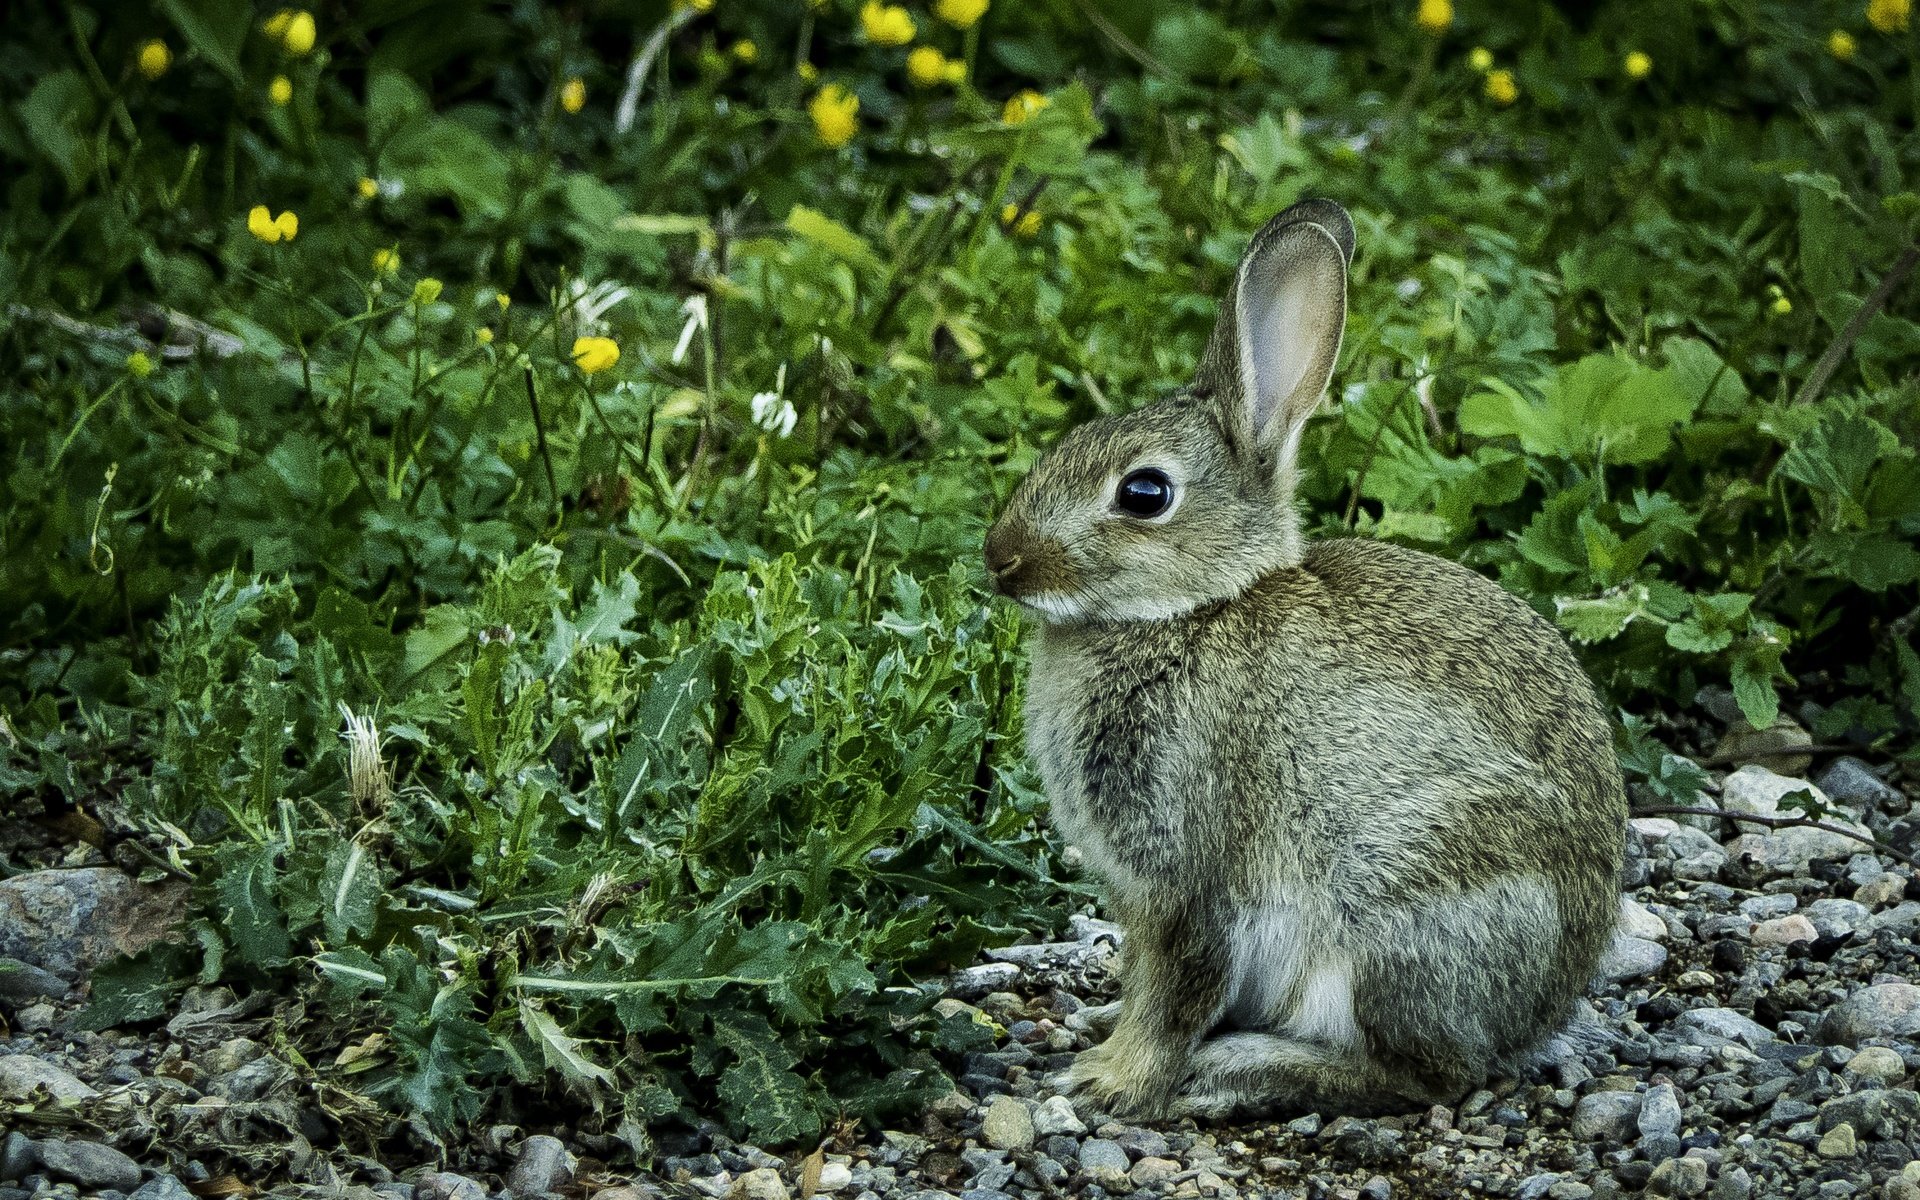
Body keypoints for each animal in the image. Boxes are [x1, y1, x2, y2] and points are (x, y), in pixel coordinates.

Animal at [983, 192, 1628, 1121]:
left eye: (1144, 493)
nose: (1002, 558)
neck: (1193, 609)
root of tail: (1540, 1009)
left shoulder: (1189, 876)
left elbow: (1176, 985)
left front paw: (1113, 1081)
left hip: (1399, 921)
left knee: (1425, 1076)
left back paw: (1244, 1068)